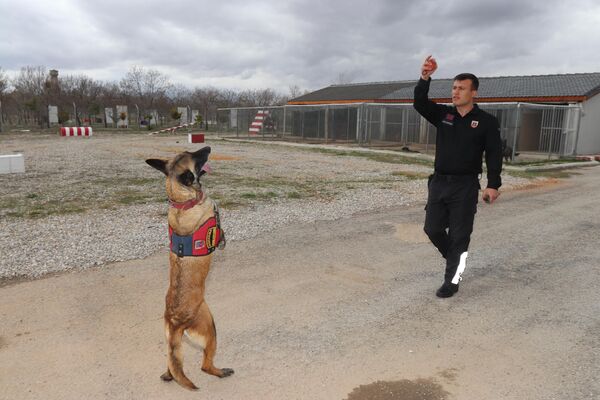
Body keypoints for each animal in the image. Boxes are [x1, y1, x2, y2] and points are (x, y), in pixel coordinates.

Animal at [145, 147, 234, 390]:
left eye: (188, 151)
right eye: (196, 156)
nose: (207, 147)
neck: (182, 202)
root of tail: (175, 322)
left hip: (172, 342)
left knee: (173, 363)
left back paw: (169, 375)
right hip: (210, 327)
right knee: (205, 366)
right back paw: (221, 372)